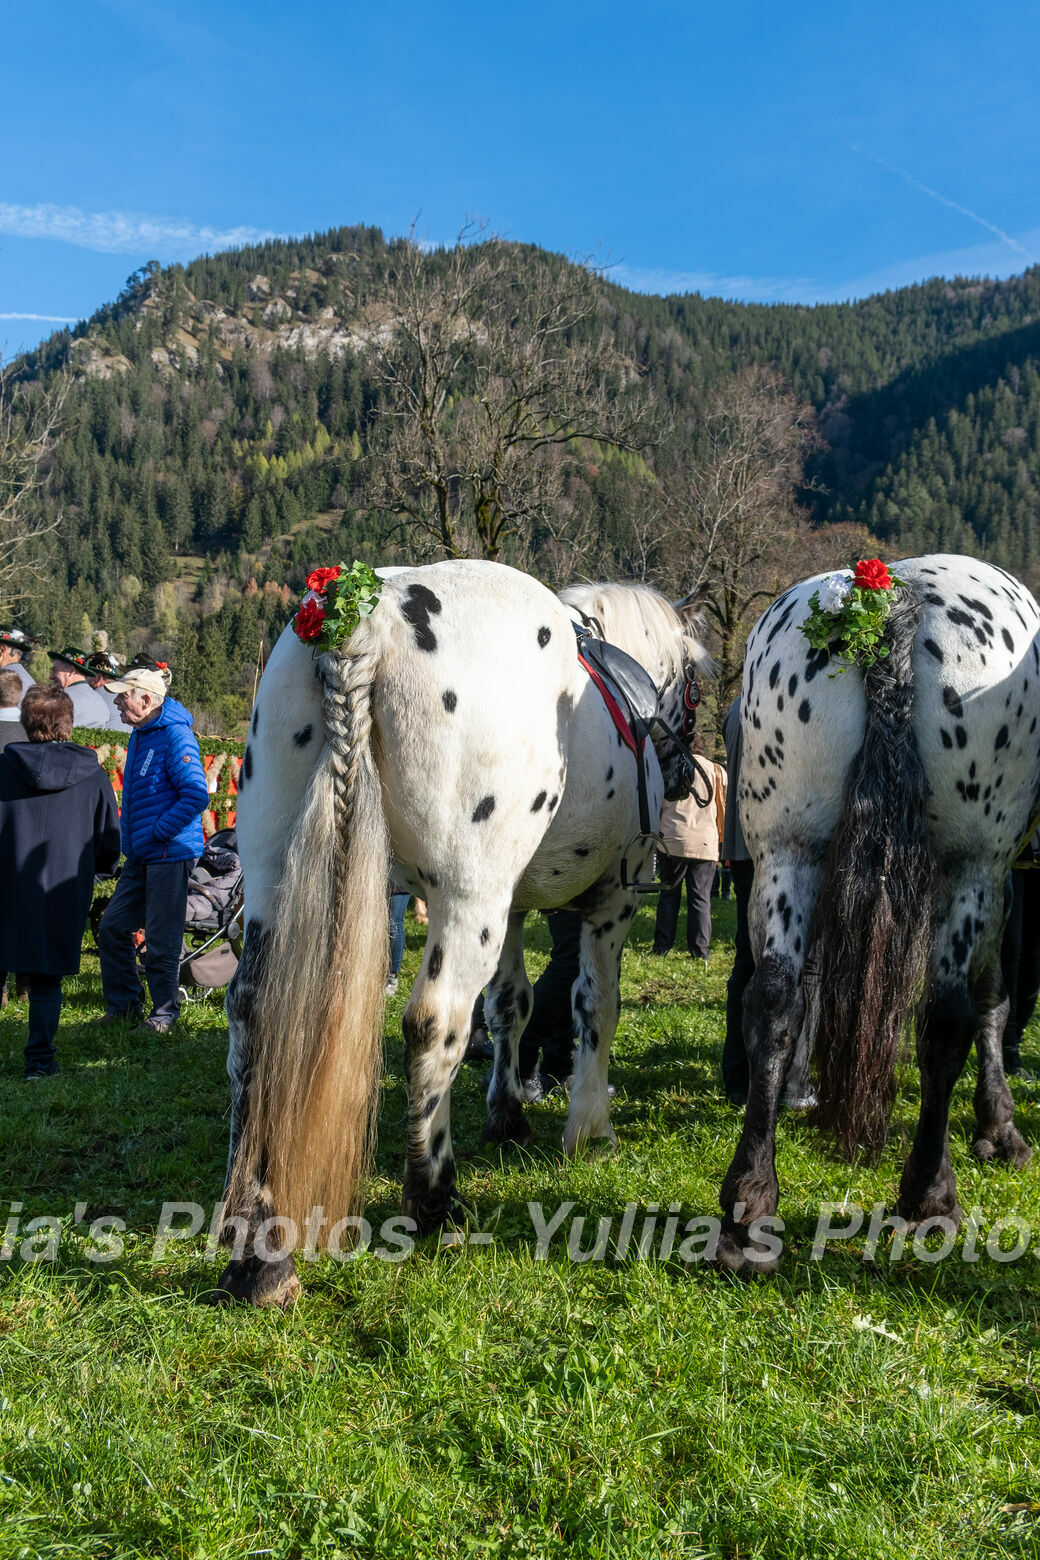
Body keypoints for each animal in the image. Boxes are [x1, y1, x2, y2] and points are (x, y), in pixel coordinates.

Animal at [218, 561, 707, 1304]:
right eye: (697, 687)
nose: (681, 775)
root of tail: (369, 614)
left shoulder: (513, 910)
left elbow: (512, 1006)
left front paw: (507, 1112)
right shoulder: (611, 902)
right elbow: (596, 1007)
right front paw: (589, 1126)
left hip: (278, 876)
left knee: (252, 1016)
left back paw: (255, 1240)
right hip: (467, 895)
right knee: (434, 1023)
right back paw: (433, 1197)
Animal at [720, 555, 1040, 1272]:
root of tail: (892, 595)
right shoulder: (995, 871)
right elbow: (991, 995)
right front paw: (999, 1125)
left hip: (787, 849)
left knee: (773, 1000)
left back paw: (749, 1205)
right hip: (970, 862)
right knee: (945, 1018)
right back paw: (929, 1195)